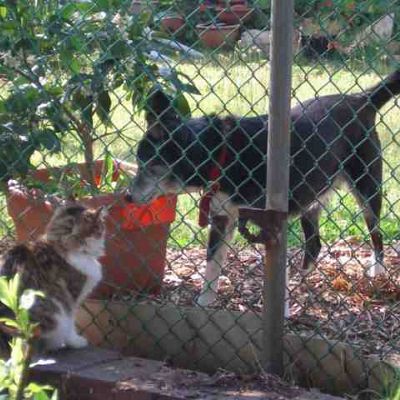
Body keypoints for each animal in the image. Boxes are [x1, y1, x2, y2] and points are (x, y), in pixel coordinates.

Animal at [126, 69, 400, 306]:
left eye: (146, 164)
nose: (127, 197)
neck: (221, 152)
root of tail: (361, 99)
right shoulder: (223, 217)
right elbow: (212, 264)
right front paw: (204, 303)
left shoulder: (271, 222)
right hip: (311, 198)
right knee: (314, 245)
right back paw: (301, 282)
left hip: (367, 187)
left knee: (376, 236)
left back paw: (377, 272)